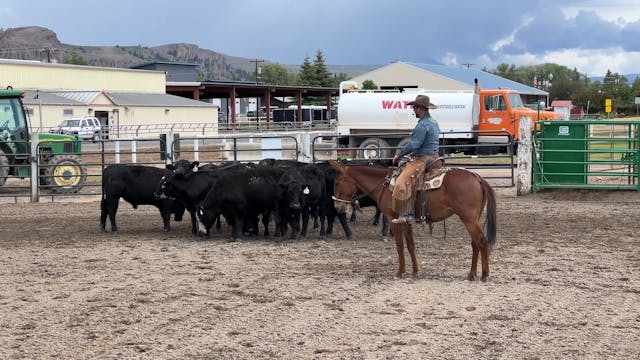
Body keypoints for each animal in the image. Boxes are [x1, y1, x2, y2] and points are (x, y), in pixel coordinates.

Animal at [328, 161, 498, 282]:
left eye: (337, 183)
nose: (336, 206)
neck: (385, 186)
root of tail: (477, 177)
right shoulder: (406, 221)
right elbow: (410, 245)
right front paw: (415, 272)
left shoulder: (393, 219)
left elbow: (399, 246)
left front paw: (400, 272)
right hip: (472, 218)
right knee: (475, 243)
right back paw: (471, 274)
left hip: (468, 218)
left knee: (481, 241)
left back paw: (484, 275)